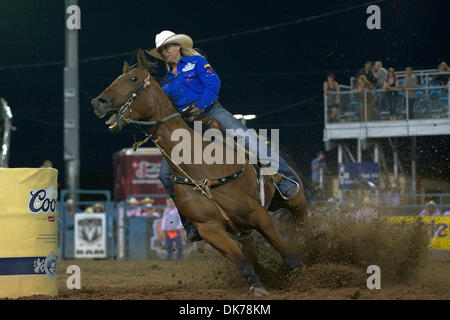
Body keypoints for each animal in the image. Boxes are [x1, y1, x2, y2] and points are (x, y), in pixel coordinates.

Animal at [91, 48, 310, 296]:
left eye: (133, 78)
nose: (98, 102)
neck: (200, 164)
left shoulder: (259, 214)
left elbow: (287, 253)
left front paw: (300, 275)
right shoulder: (209, 229)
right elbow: (241, 261)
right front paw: (257, 286)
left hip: (290, 200)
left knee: (301, 215)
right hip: (243, 227)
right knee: (249, 248)